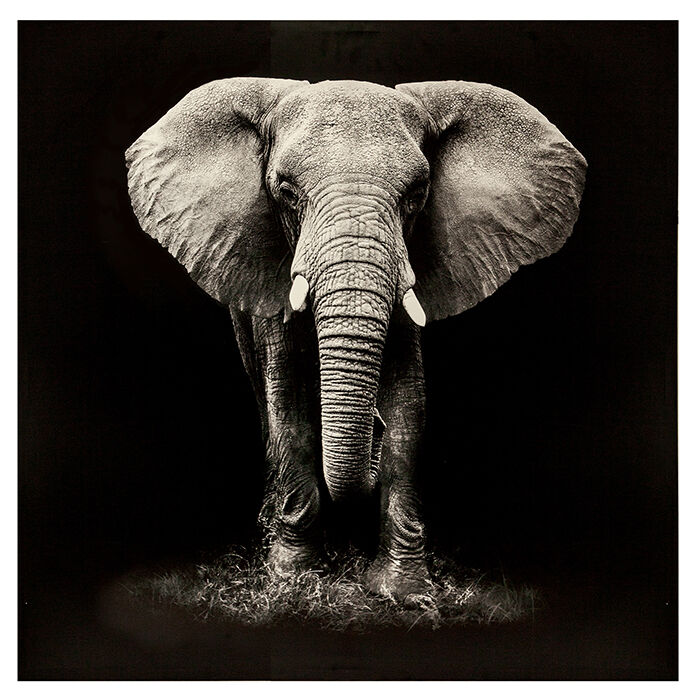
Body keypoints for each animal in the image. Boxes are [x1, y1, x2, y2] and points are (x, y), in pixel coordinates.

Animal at [125, 78, 586, 602]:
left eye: (417, 194)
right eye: (285, 191)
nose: (373, 430)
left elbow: (409, 408)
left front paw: (404, 592)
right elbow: (289, 404)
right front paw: (294, 580)